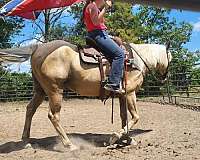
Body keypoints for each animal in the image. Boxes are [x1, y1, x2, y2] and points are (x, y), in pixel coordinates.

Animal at [0, 40, 172, 150]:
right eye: (170, 57)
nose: (165, 77)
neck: (136, 60)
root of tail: (37, 47)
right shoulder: (130, 94)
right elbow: (135, 117)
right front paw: (115, 137)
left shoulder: (122, 95)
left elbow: (124, 118)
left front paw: (127, 139)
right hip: (55, 90)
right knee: (53, 116)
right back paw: (69, 144)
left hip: (40, 91)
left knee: (30, 110)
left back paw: (26, 141)